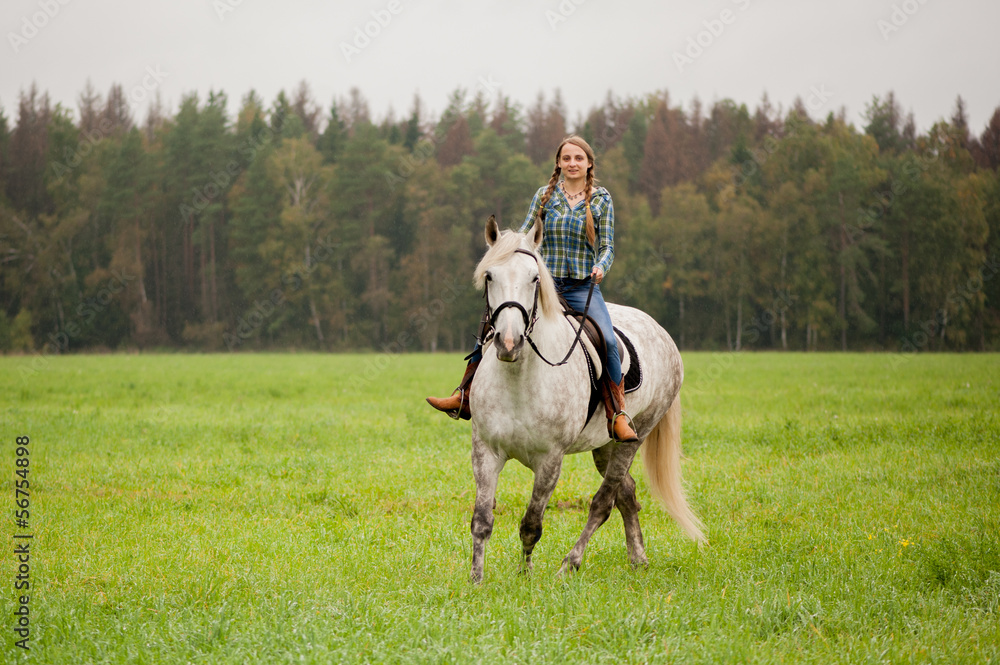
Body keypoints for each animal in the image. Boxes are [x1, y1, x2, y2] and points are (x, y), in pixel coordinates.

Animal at [466, 218, 704, 580]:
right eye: (490, 275)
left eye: (535, 278)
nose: (508, 342)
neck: (519, 379)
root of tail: (662, 333)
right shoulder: (486, 452)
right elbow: (482, 520)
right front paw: (477, 580)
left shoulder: (550, 460)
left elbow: (531, 524)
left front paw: (526, 574)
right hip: (605, 446)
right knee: (627, 494)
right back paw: (638, 558)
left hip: (633, 439)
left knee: (604, 502)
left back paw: (571, 563)